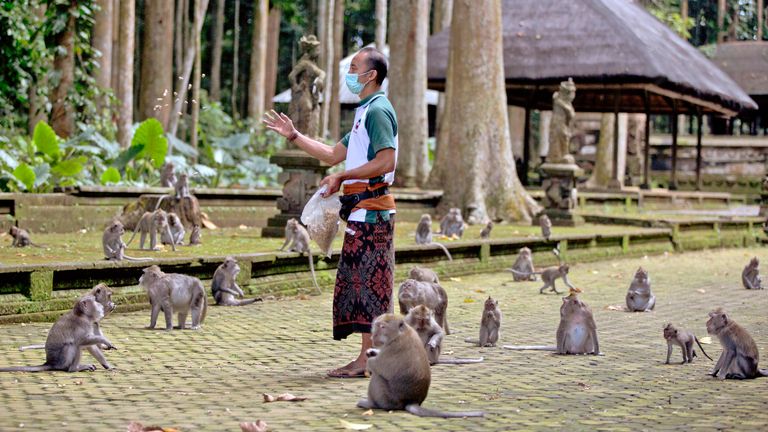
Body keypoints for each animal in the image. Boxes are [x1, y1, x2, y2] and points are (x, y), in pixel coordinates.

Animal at [356, 312, 484, 416]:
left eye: (382, 327)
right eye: (376, 325)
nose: (373, 336)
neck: (399, 334)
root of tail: (412, 401)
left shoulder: (394, 347)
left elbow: (378, 366)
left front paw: (368, 363)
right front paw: (371, 352)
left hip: (389, 399)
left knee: (378, 377)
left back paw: (372, 404)